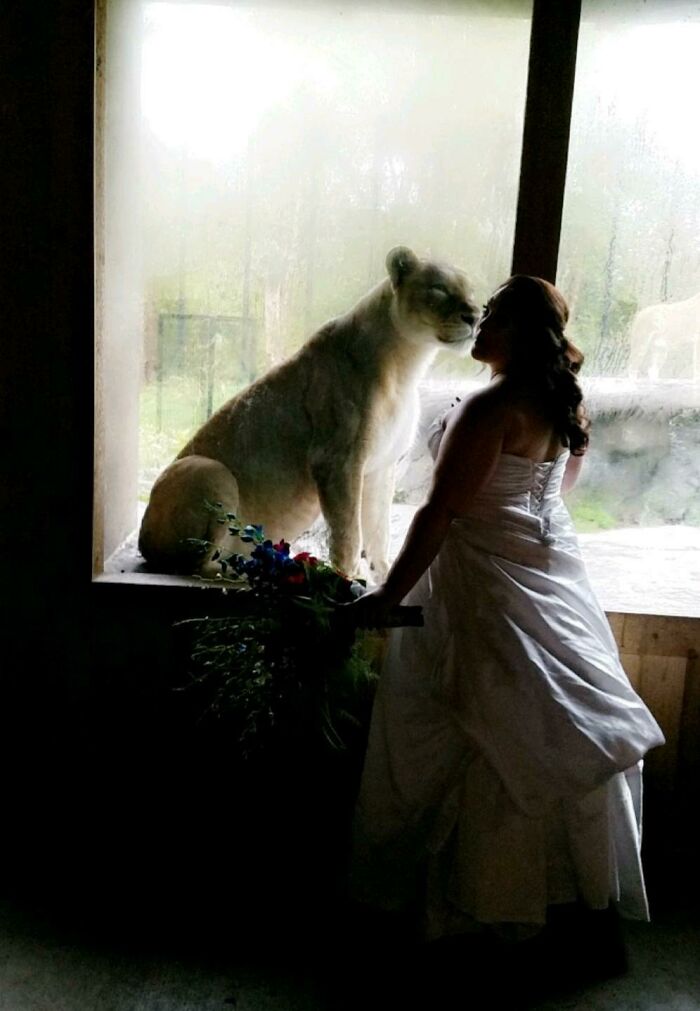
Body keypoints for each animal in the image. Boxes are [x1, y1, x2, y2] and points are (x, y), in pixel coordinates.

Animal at [138, 246, 478, 580]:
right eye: (439, 289)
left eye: (471, 291)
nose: (475, 316)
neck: (407, 364)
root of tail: (142, 541)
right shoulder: (337, 460)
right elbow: (348, 531)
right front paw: (349, 579)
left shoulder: (382, 467)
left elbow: (378, 529)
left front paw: (382, 574)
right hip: (209, 469)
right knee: (197, 565)